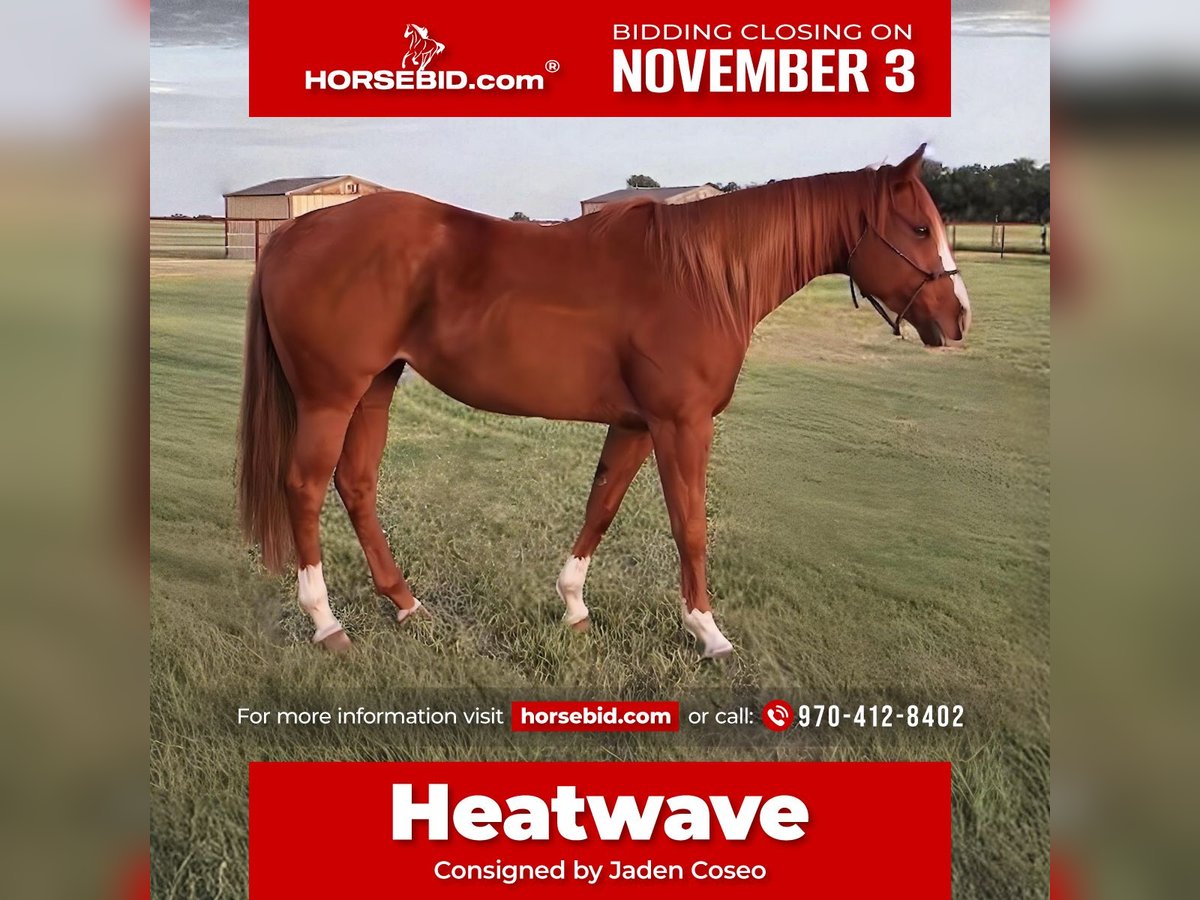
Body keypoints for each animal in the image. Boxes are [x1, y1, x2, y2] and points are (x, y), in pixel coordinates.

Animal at [236, 144, 971, 658]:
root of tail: (294, 234)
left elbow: (602, 504)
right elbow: (690, 525)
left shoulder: (637, 424)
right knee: (306, 487)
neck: (700, 278)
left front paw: (573, 607)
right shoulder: (682, 425)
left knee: (357, 485)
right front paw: (708, 632)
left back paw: (407, 605)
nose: (958, 317)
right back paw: (327, 623)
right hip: (331, 396)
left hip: (376, 388)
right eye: (915, 228)